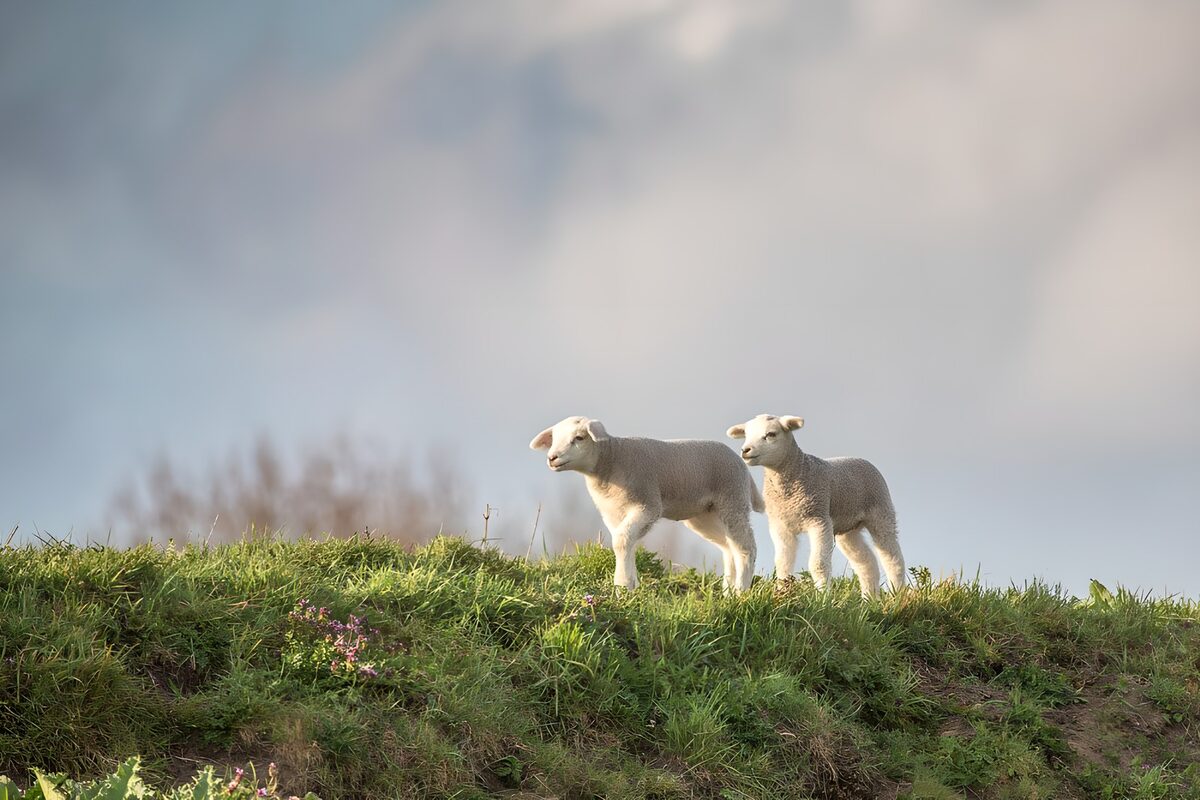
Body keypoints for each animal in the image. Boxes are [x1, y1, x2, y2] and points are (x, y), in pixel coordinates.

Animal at [530, 416, 763, 592]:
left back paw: (740, 591)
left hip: (733, 500)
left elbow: (621, 541)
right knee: (729, 547)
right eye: (554, 439)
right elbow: (626, 543)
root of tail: (741, 464)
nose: (552, 457)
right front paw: (632, 583)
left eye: (579, 437)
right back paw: (727, 593)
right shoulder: (613, 514)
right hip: (704, 515)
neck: (611, 459)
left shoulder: (648, 505)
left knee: (746, 547)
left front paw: (622, 585)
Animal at [726, 414, 905, 598]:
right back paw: (869, 599)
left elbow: (818, 564)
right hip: (848, 530)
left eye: (771, 434)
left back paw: (897, 595)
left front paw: (823, 597)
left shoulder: (819, 519)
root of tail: (862, 459)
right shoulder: (780, 525)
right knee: (866, 562)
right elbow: (783, 563)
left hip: (881, 512)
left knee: (892, 558)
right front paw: (782, 593)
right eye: (746, 434)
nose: (745, 450)